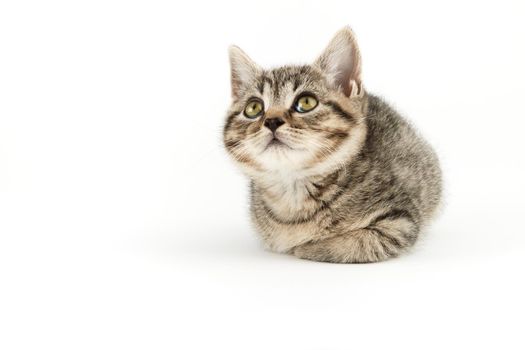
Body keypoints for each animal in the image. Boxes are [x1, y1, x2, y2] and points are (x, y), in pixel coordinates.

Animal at [223, 27, 440, 262]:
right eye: (253, 108)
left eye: (306, 102)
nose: (271, 121)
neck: (293, 189)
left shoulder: (399, 223)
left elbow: (351, 243)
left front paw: (305, 246)